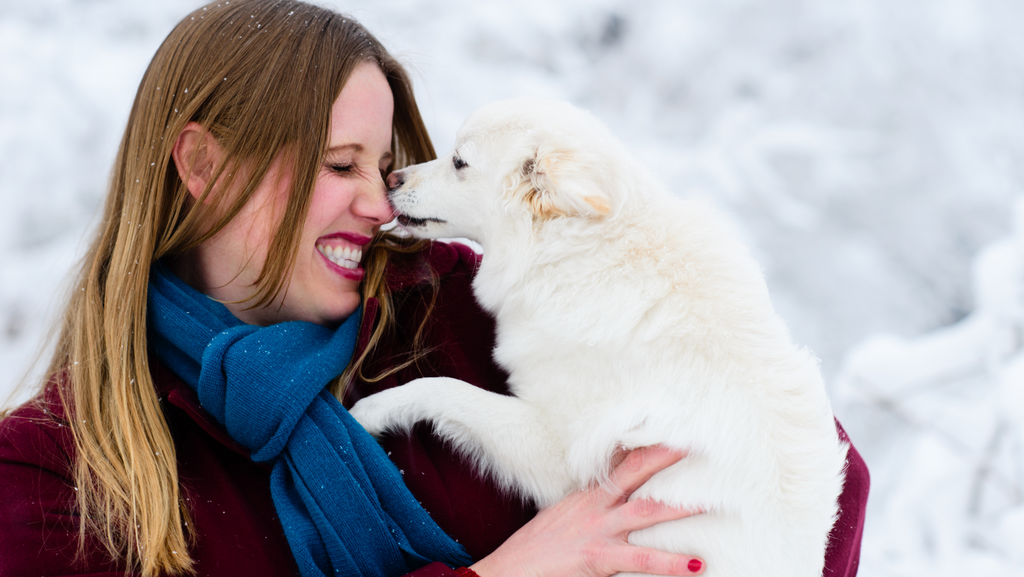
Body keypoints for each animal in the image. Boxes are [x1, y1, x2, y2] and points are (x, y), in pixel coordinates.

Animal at [352, 100, 847, 577]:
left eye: (459, 161)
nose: (391, 177)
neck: (586, 250)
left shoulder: (559, 457)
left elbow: (444, 390)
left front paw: (369, 412)